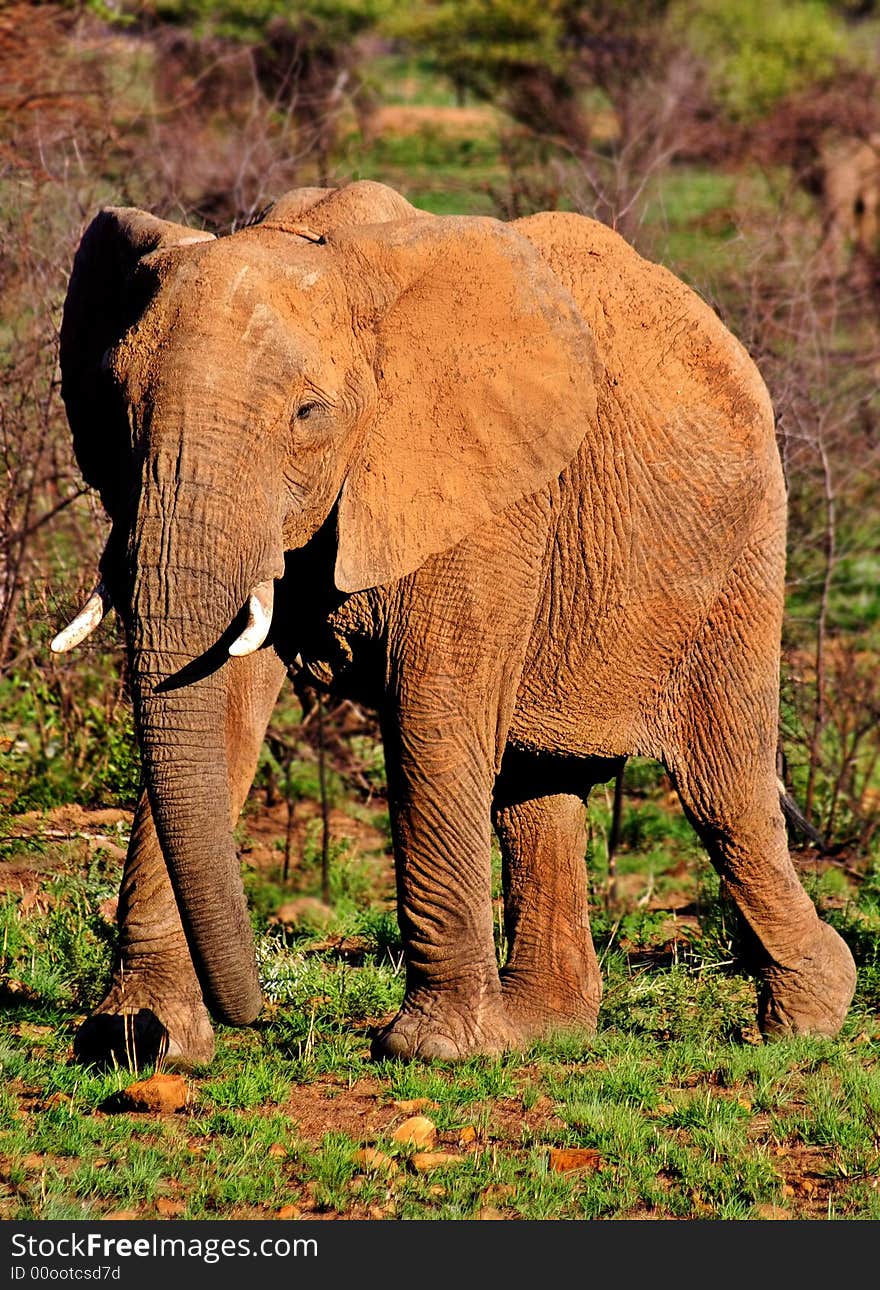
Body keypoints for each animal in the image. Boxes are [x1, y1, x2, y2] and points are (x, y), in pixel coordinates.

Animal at [51, 181, 851, 1068]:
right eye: (113, 405)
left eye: (308, 414)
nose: (257, 1012)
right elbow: (218, 709)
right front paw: (132, 1042)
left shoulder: (483, 494)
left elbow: (432, 712)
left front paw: (433, 1052)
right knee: (540, 785)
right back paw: (543, 1028)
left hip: (740, 550)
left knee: (724, 792)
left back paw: (805, 1021)